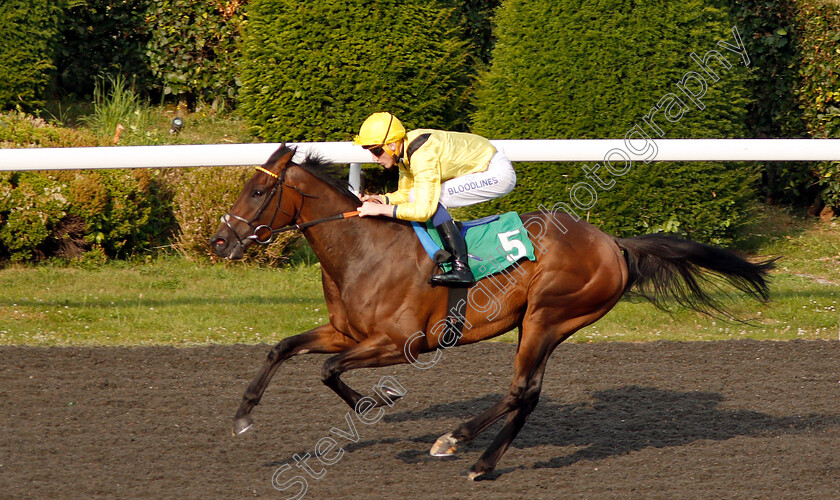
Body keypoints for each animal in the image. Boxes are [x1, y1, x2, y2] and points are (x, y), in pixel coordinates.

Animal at [212, 145, 776, 480]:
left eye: (258, 191)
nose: (220, 242)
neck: (363, 249)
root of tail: (613, 243)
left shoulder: (401, 345)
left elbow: (329, 369)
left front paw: (377, 403)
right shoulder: (343, 331)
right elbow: (284, 348)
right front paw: (242, 416)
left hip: (549, 316)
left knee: (520, 390)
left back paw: (455, 440)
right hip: (544, 324)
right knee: (530, 393)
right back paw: (483, 462)